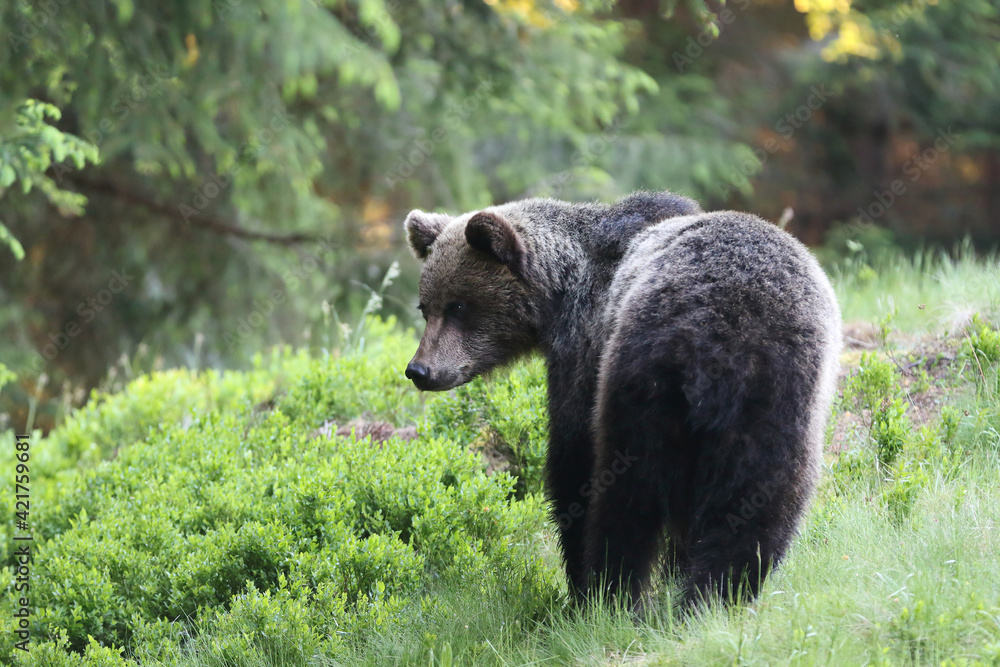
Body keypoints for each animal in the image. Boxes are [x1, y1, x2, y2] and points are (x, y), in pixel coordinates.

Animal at [402, 193, 840, 612]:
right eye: (426, 306)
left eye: (458, 306)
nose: (419, 370)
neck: (560, 294)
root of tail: (718, 337)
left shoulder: (584, 352)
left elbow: (573, 463)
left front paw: (581, 580)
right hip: (779, 401)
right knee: (762, 504)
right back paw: (716, 596)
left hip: (643, 379)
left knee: (628, 501)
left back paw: (611, 594)